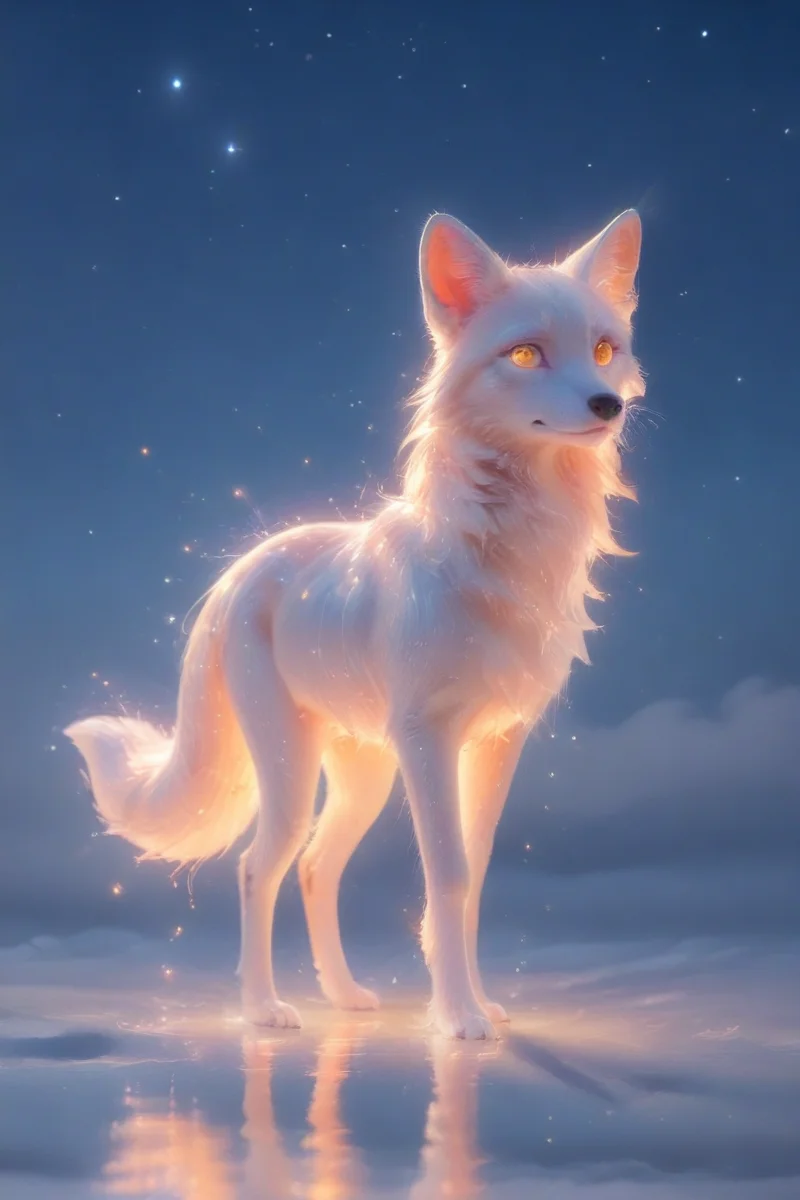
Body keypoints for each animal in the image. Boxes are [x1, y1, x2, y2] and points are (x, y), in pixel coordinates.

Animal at [65, 209, 644, 1040]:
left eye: (603, 349)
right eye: (526, 354)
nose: (607, 405)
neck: (502, 551)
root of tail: (240, 570)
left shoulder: (499, 741)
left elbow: (475, 876)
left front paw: (474, 1004)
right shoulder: (429, 739)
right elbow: (449, 874)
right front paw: (458, 1019)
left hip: (364, 775)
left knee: (315, 867)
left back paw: (343, 998)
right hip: (291, 769)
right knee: (258, 867)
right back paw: (263, 1009)